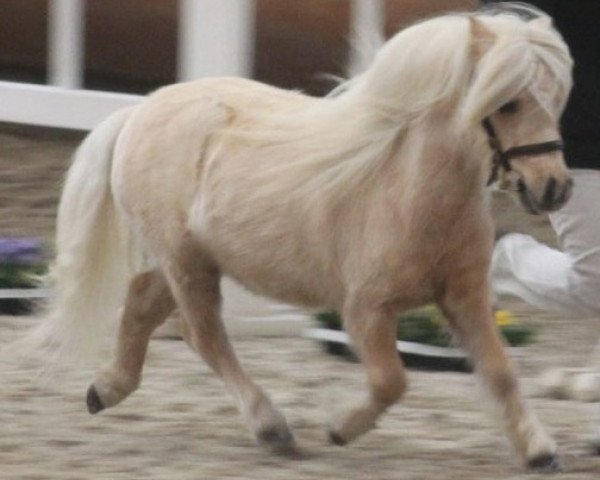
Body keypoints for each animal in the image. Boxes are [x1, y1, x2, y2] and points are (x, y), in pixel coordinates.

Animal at [22, 5, 572, 470]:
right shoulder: (365, 308)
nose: (554, 187)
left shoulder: (465, 296)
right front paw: (339, 429)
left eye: (556, 98)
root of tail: (138, 111)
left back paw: (106, 390)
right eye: (508, 103)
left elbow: (499, 372)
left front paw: (540, 451)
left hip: (191, 257)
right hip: (185, 259)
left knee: (141, 302)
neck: (410, 188)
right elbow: (391, 381)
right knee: (202, 334)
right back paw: (271, 428)